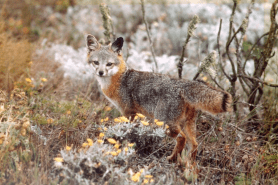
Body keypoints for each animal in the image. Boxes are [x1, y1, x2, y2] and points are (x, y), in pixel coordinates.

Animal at [85, 34, 232, 162]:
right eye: (96, 62)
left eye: (109, 64)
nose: (101, 72)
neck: (119, 79)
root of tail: (183, 84)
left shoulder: (129, 112)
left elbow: (128, 130)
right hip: (187, 124)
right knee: (194, 144)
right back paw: (189, 165)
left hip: (164, 123)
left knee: (181, 139)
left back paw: (172, 159)